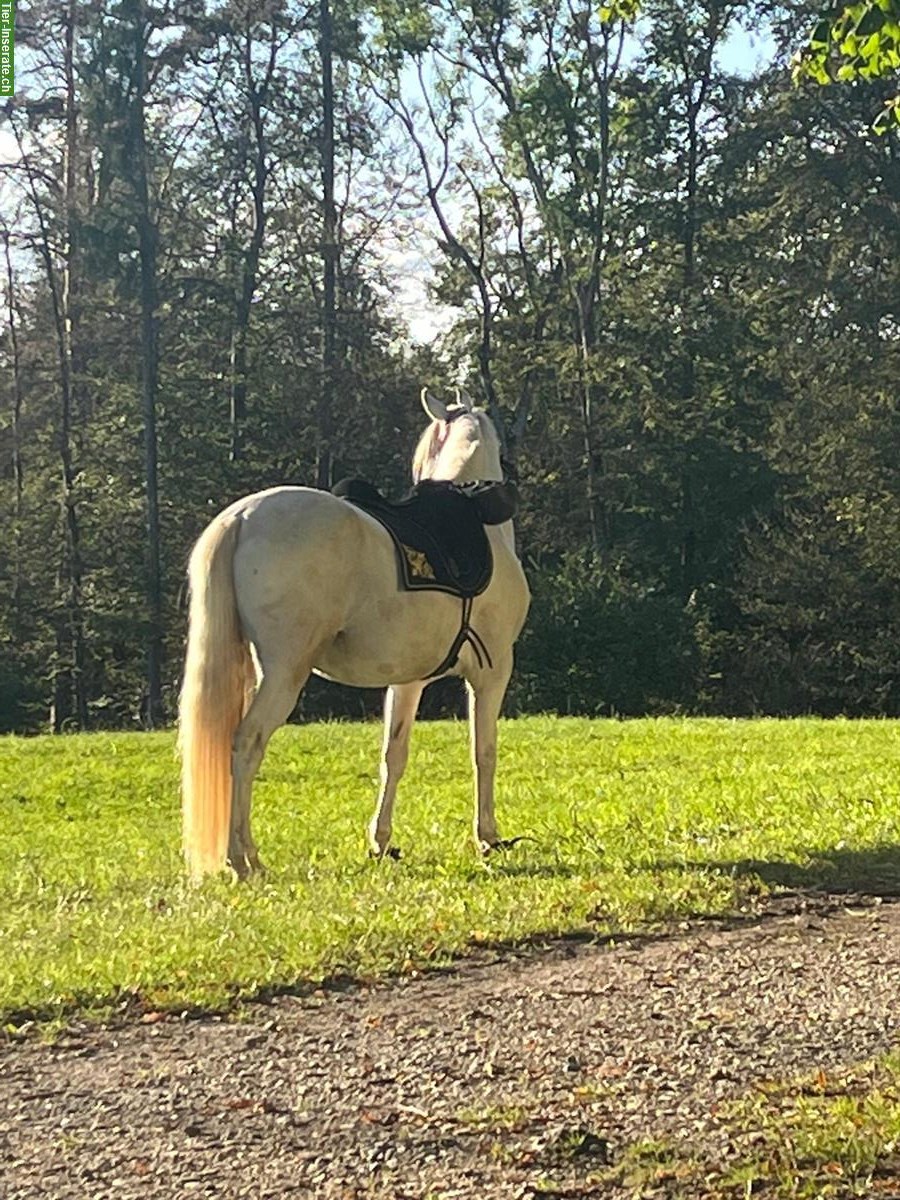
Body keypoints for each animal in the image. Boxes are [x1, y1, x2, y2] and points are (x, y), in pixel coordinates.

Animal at [180, 388, 532, 878]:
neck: (477, 520)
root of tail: (244, 516)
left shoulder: (407, 681)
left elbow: (394, 755)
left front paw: (381, 841)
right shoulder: (492, 672)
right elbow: (484, 751)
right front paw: (488, 837)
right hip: (286, 672)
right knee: (247, 743)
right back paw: (241, 859)